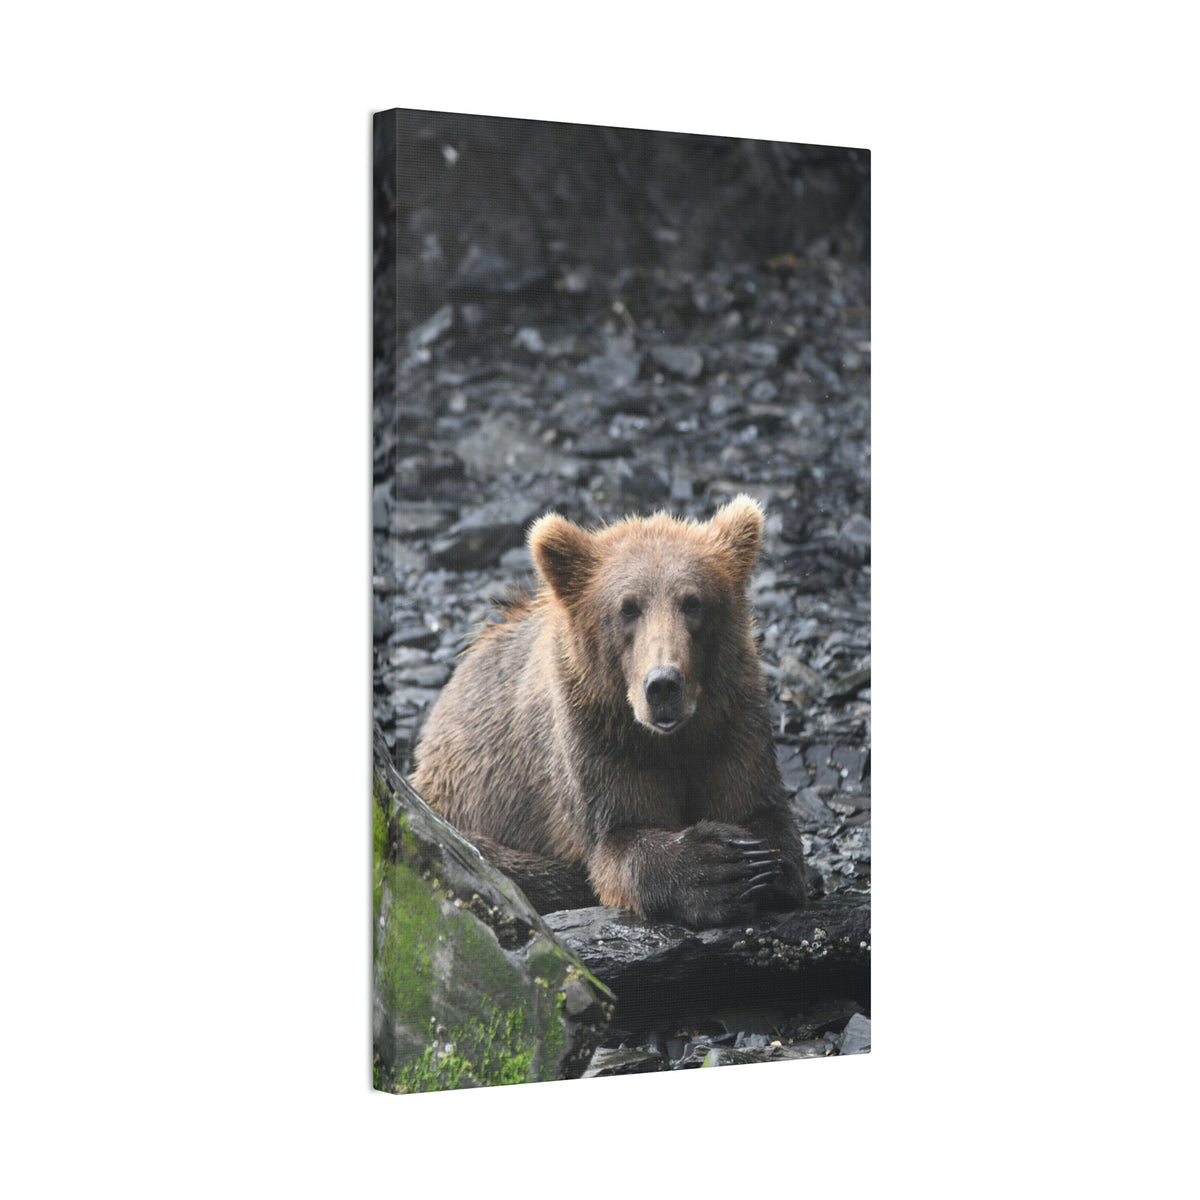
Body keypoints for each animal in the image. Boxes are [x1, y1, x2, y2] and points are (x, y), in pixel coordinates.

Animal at [411, 495, 808, 929]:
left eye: (693, 602)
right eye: (628, 608)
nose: (663, 685)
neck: (670, 739)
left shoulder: (732, 720)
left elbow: (762, 810)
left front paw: (761, 863)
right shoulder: (596, 738)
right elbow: (619, 839)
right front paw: (719, 867)